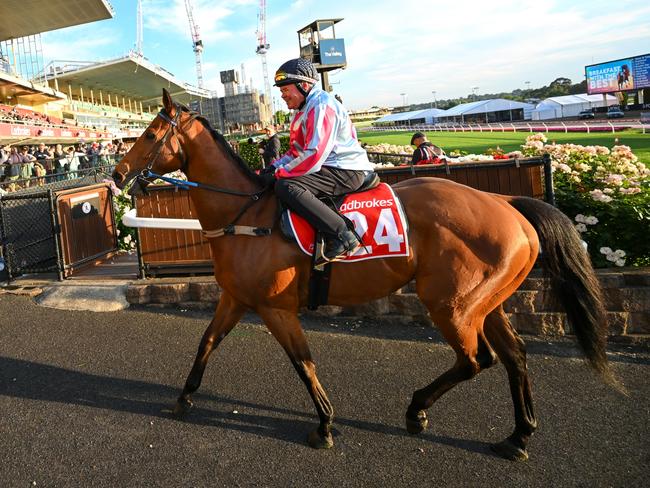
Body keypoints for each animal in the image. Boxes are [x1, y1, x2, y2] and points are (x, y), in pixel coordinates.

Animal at [112, 90, 616, 462]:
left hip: (451, 304)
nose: (118, 173)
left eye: (151, 132)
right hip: (486, 302)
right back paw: (517, 436)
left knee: (477, 360)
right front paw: (183, 398)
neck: (246, 215)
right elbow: (207, 343)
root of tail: (507, 204)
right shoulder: (235, 299)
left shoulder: (276, 308)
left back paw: (417, 410)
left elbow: (303, 363)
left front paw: (324, 423)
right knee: (514, 356)